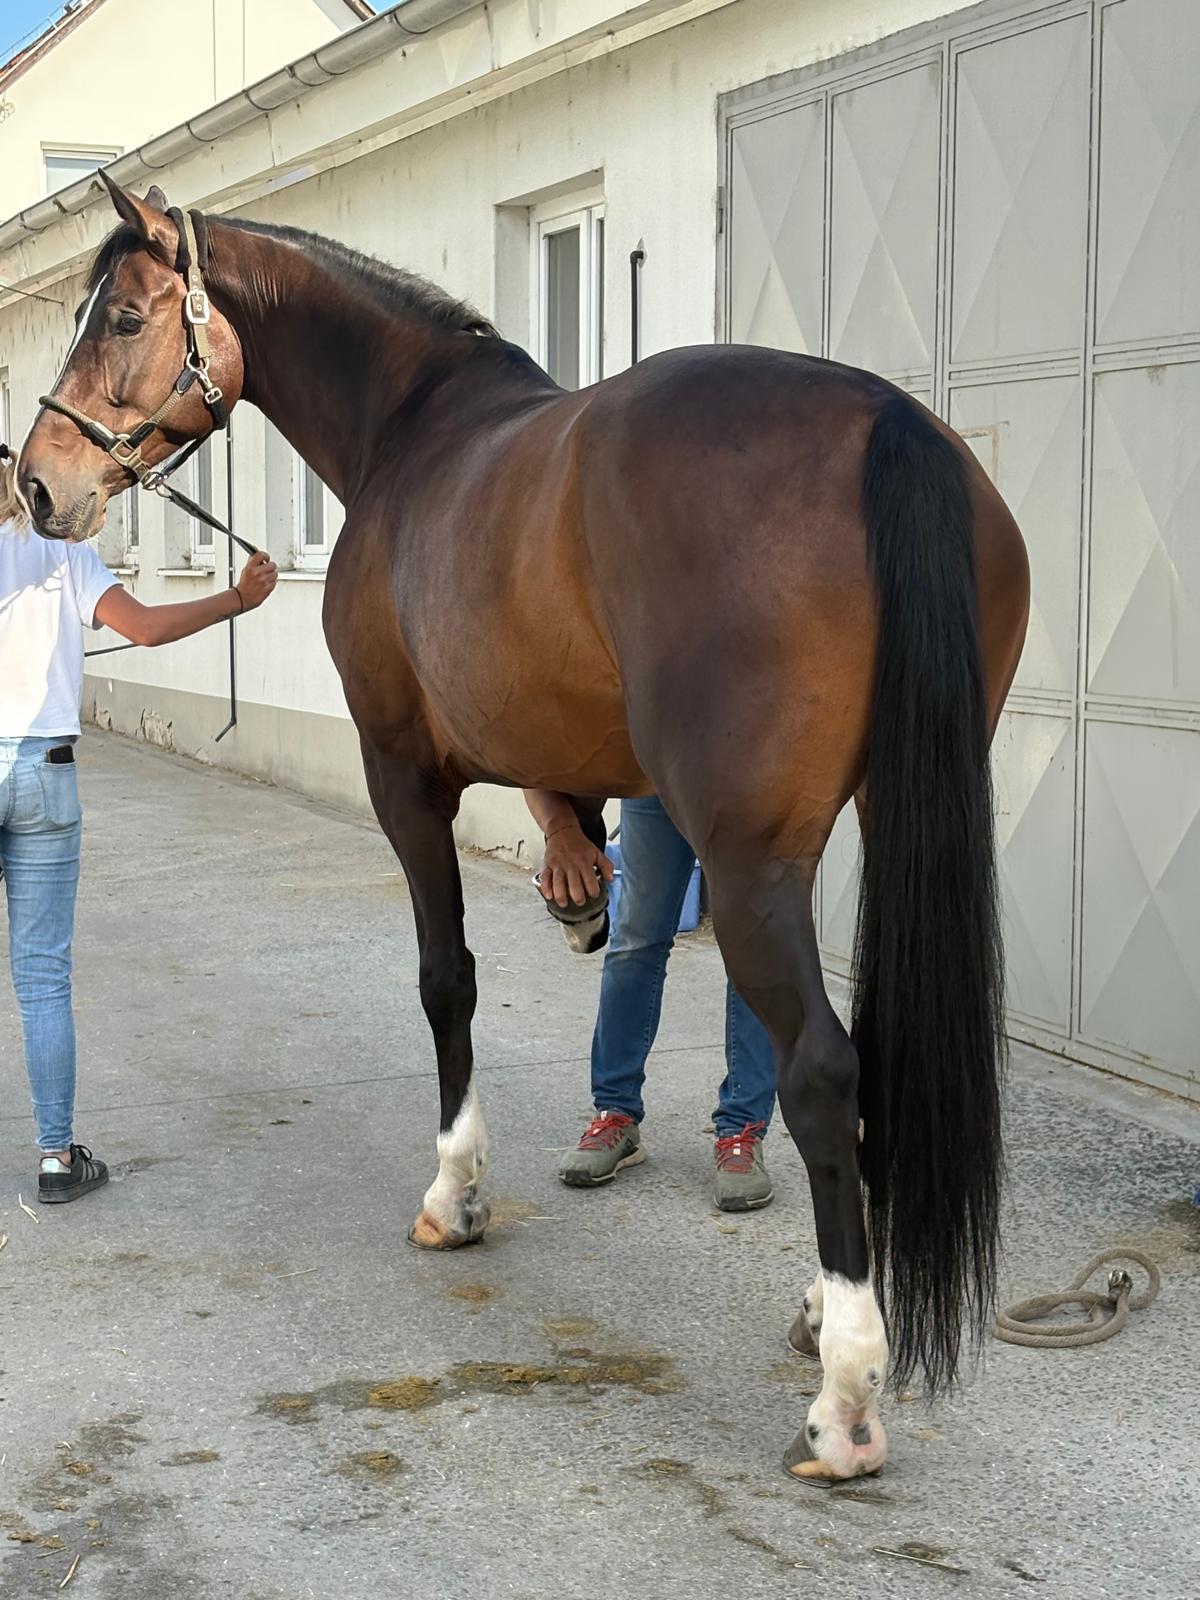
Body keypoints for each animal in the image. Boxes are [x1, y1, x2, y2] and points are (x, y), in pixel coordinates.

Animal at [19, 176, 1029, 1482]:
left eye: (128, 317)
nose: (38, 486)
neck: (411, 428)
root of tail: (882, 419)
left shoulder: (404, 779)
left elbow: (445, 980)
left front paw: (457, 1193)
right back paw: (826, 1309)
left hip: (752, 866)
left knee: (820, 1068)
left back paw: (847, 1393)